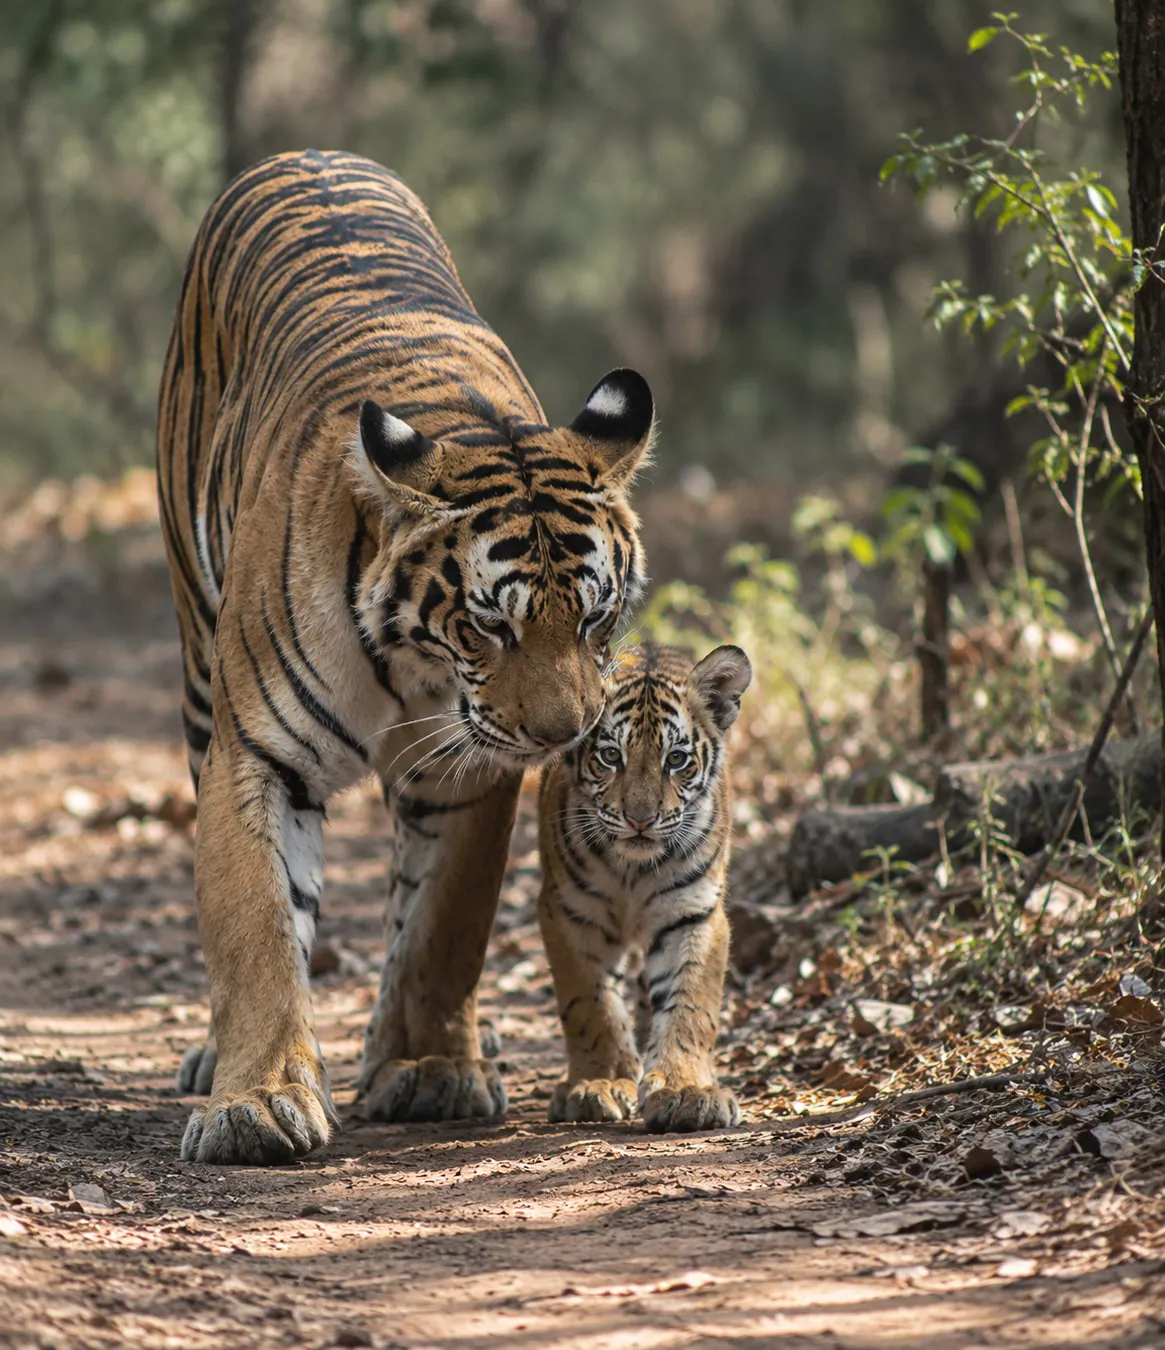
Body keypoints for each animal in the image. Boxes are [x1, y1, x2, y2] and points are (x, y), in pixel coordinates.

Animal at [155, 149, 654, 1165]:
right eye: (492, 626)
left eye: (596, 620)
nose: (563, 735)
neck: (415, 660)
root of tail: (305, 153)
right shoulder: (255, 752)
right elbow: (257, 927)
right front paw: (256, 1101)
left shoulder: (469, 773)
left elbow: (441, 926)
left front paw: (429, 1068)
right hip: (194, 658)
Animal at [537, 641, 752, 1132]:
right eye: (610, 755)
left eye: (676, 759)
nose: (640, 819)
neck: (631, 870)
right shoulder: (567, 913)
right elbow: (590, 1004)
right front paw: (597, 1084)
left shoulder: (693, 913)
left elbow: (691, 1004)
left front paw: (686, 1090)